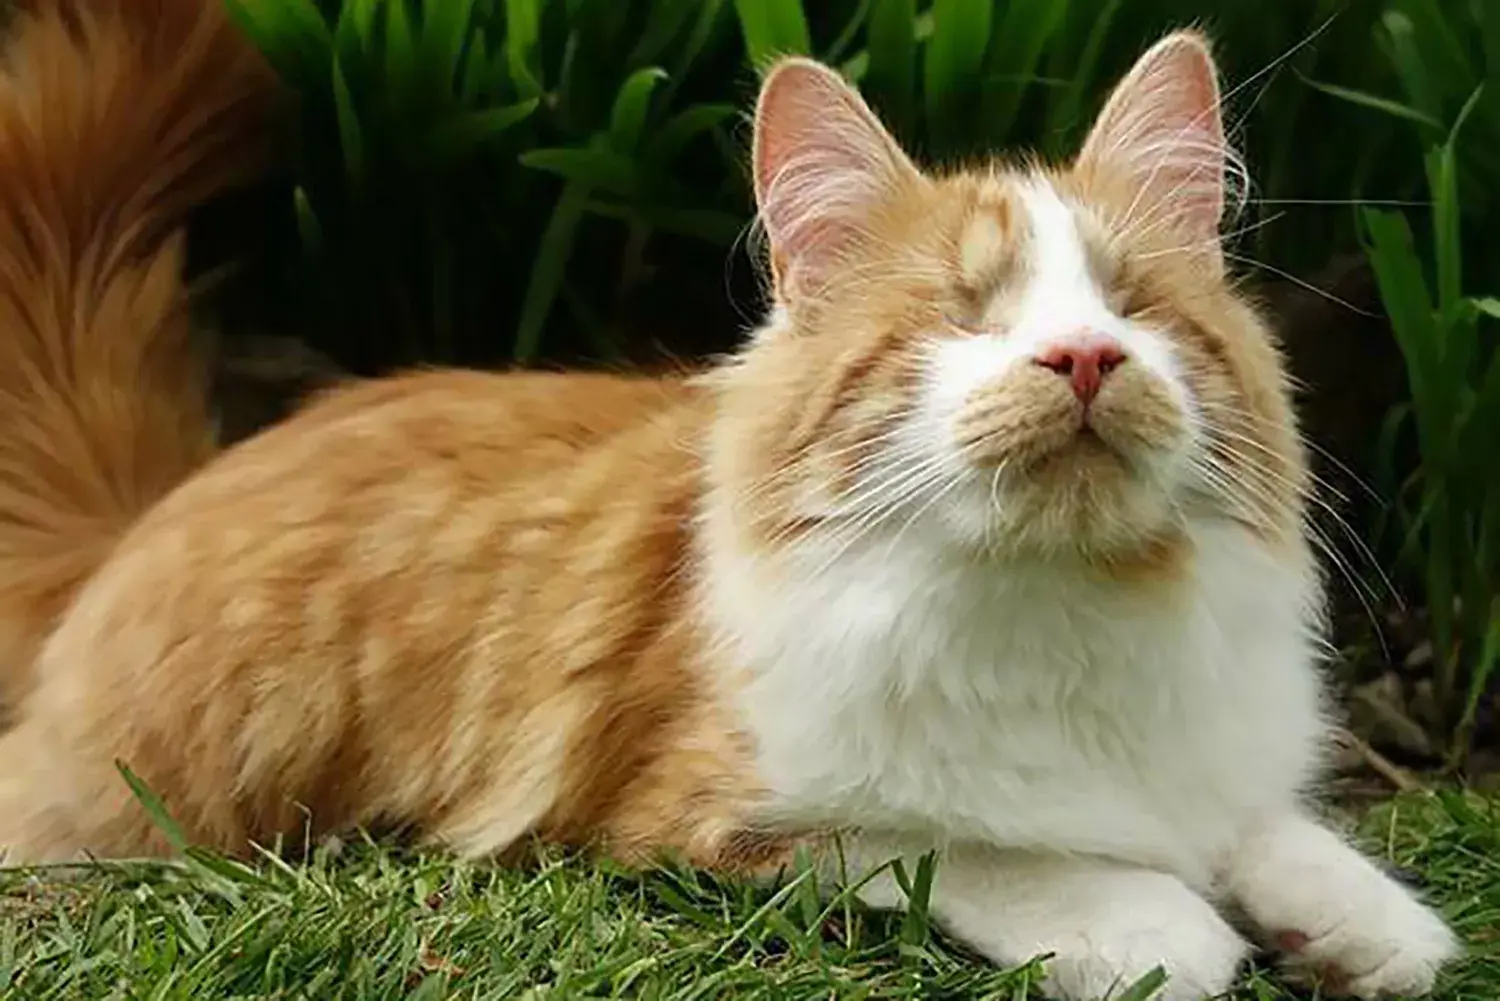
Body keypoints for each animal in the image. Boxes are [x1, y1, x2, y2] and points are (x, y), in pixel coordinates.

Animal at [0, 1, 1458, 1001]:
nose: (1085, 358)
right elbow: (973, 844)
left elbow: (1266, 828)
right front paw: (1150, 921)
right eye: (964, 320)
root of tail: (162, 497)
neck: (1062, 607)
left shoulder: (1216, 759)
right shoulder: (707, 813)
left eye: (1133, 310)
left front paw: (1366, 918)